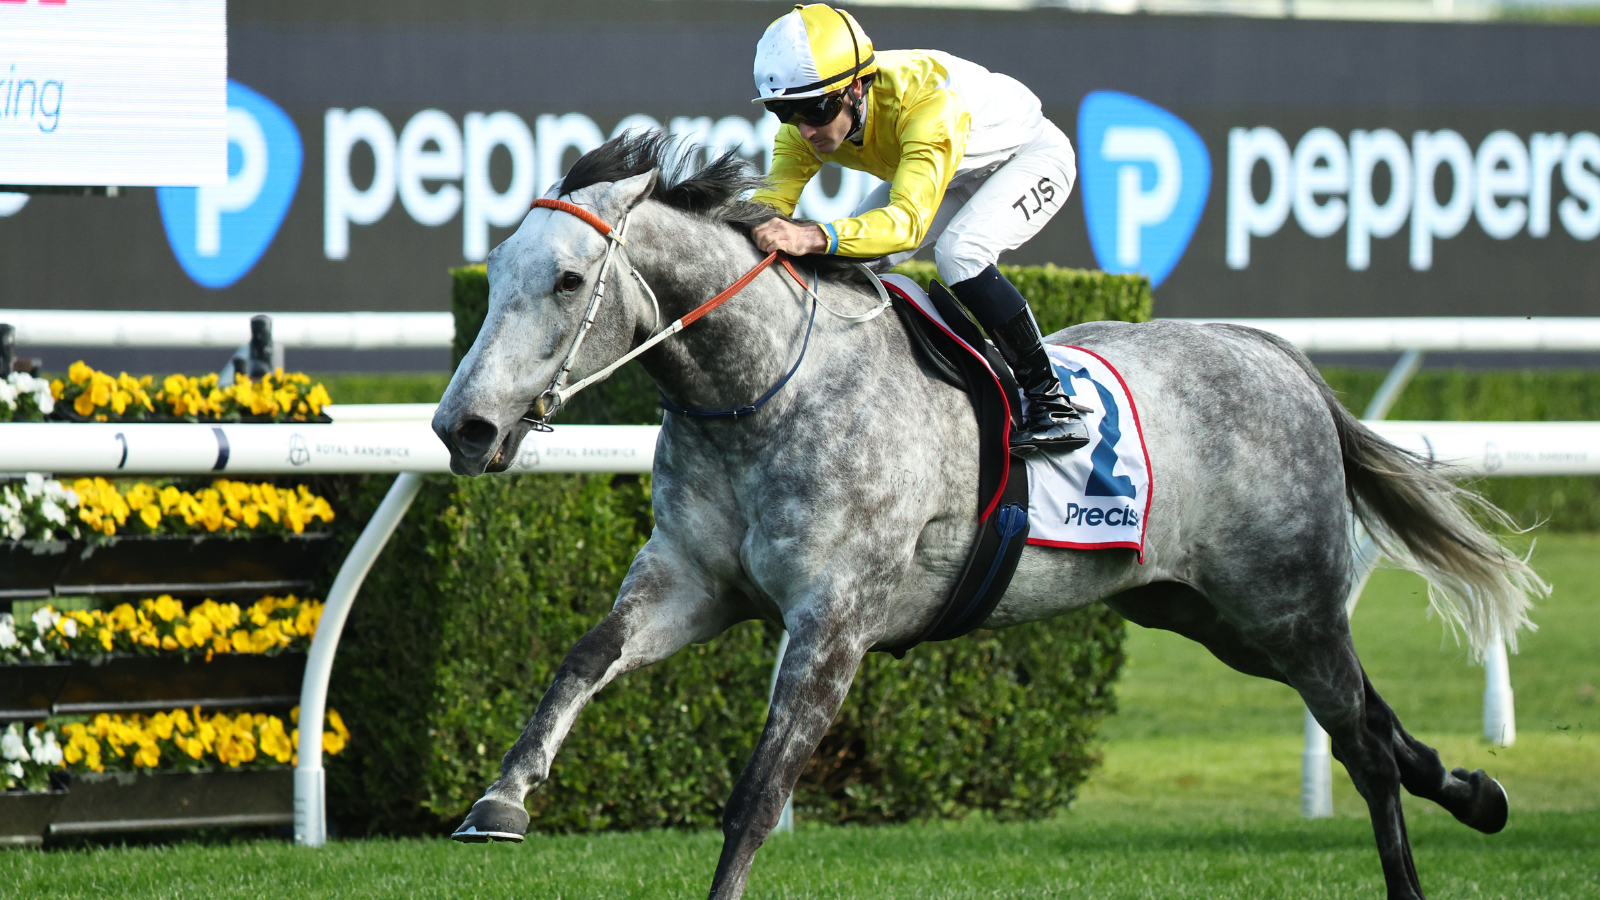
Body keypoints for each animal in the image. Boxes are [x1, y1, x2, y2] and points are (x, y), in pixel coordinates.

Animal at [432, 133, 1545, 900]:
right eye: (495, 274)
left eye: (568, 280)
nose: (461, 426)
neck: (765, 390)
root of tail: (1278, 357)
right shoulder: (692, 583)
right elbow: (582, 658)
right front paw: (500, 799)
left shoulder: (835, 621)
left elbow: (758, 790)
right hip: (1208, 614)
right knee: (1370, 719)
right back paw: (1477, 793)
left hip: (1289, 602)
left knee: (1361, 744)